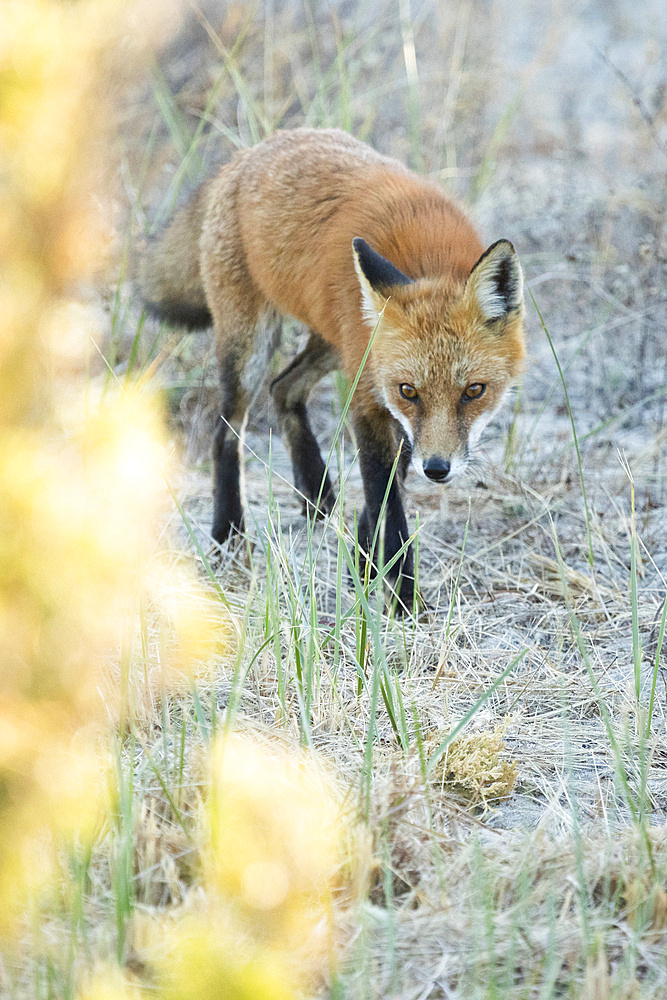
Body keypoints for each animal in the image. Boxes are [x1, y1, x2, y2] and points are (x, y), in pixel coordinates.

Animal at [140, 126, 528, 608]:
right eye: (410, 390)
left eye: (474, 391)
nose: (438, 470)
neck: (430, 262)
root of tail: (250, 152)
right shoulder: (370, 400)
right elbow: (387, 505)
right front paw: (403, 604)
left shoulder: (388, 404)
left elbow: (386, 492)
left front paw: (364, 565)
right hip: (254, 345)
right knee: (226, 430)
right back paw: (228, 534)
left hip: (332, 340)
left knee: (283, 387)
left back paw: (314, 489)